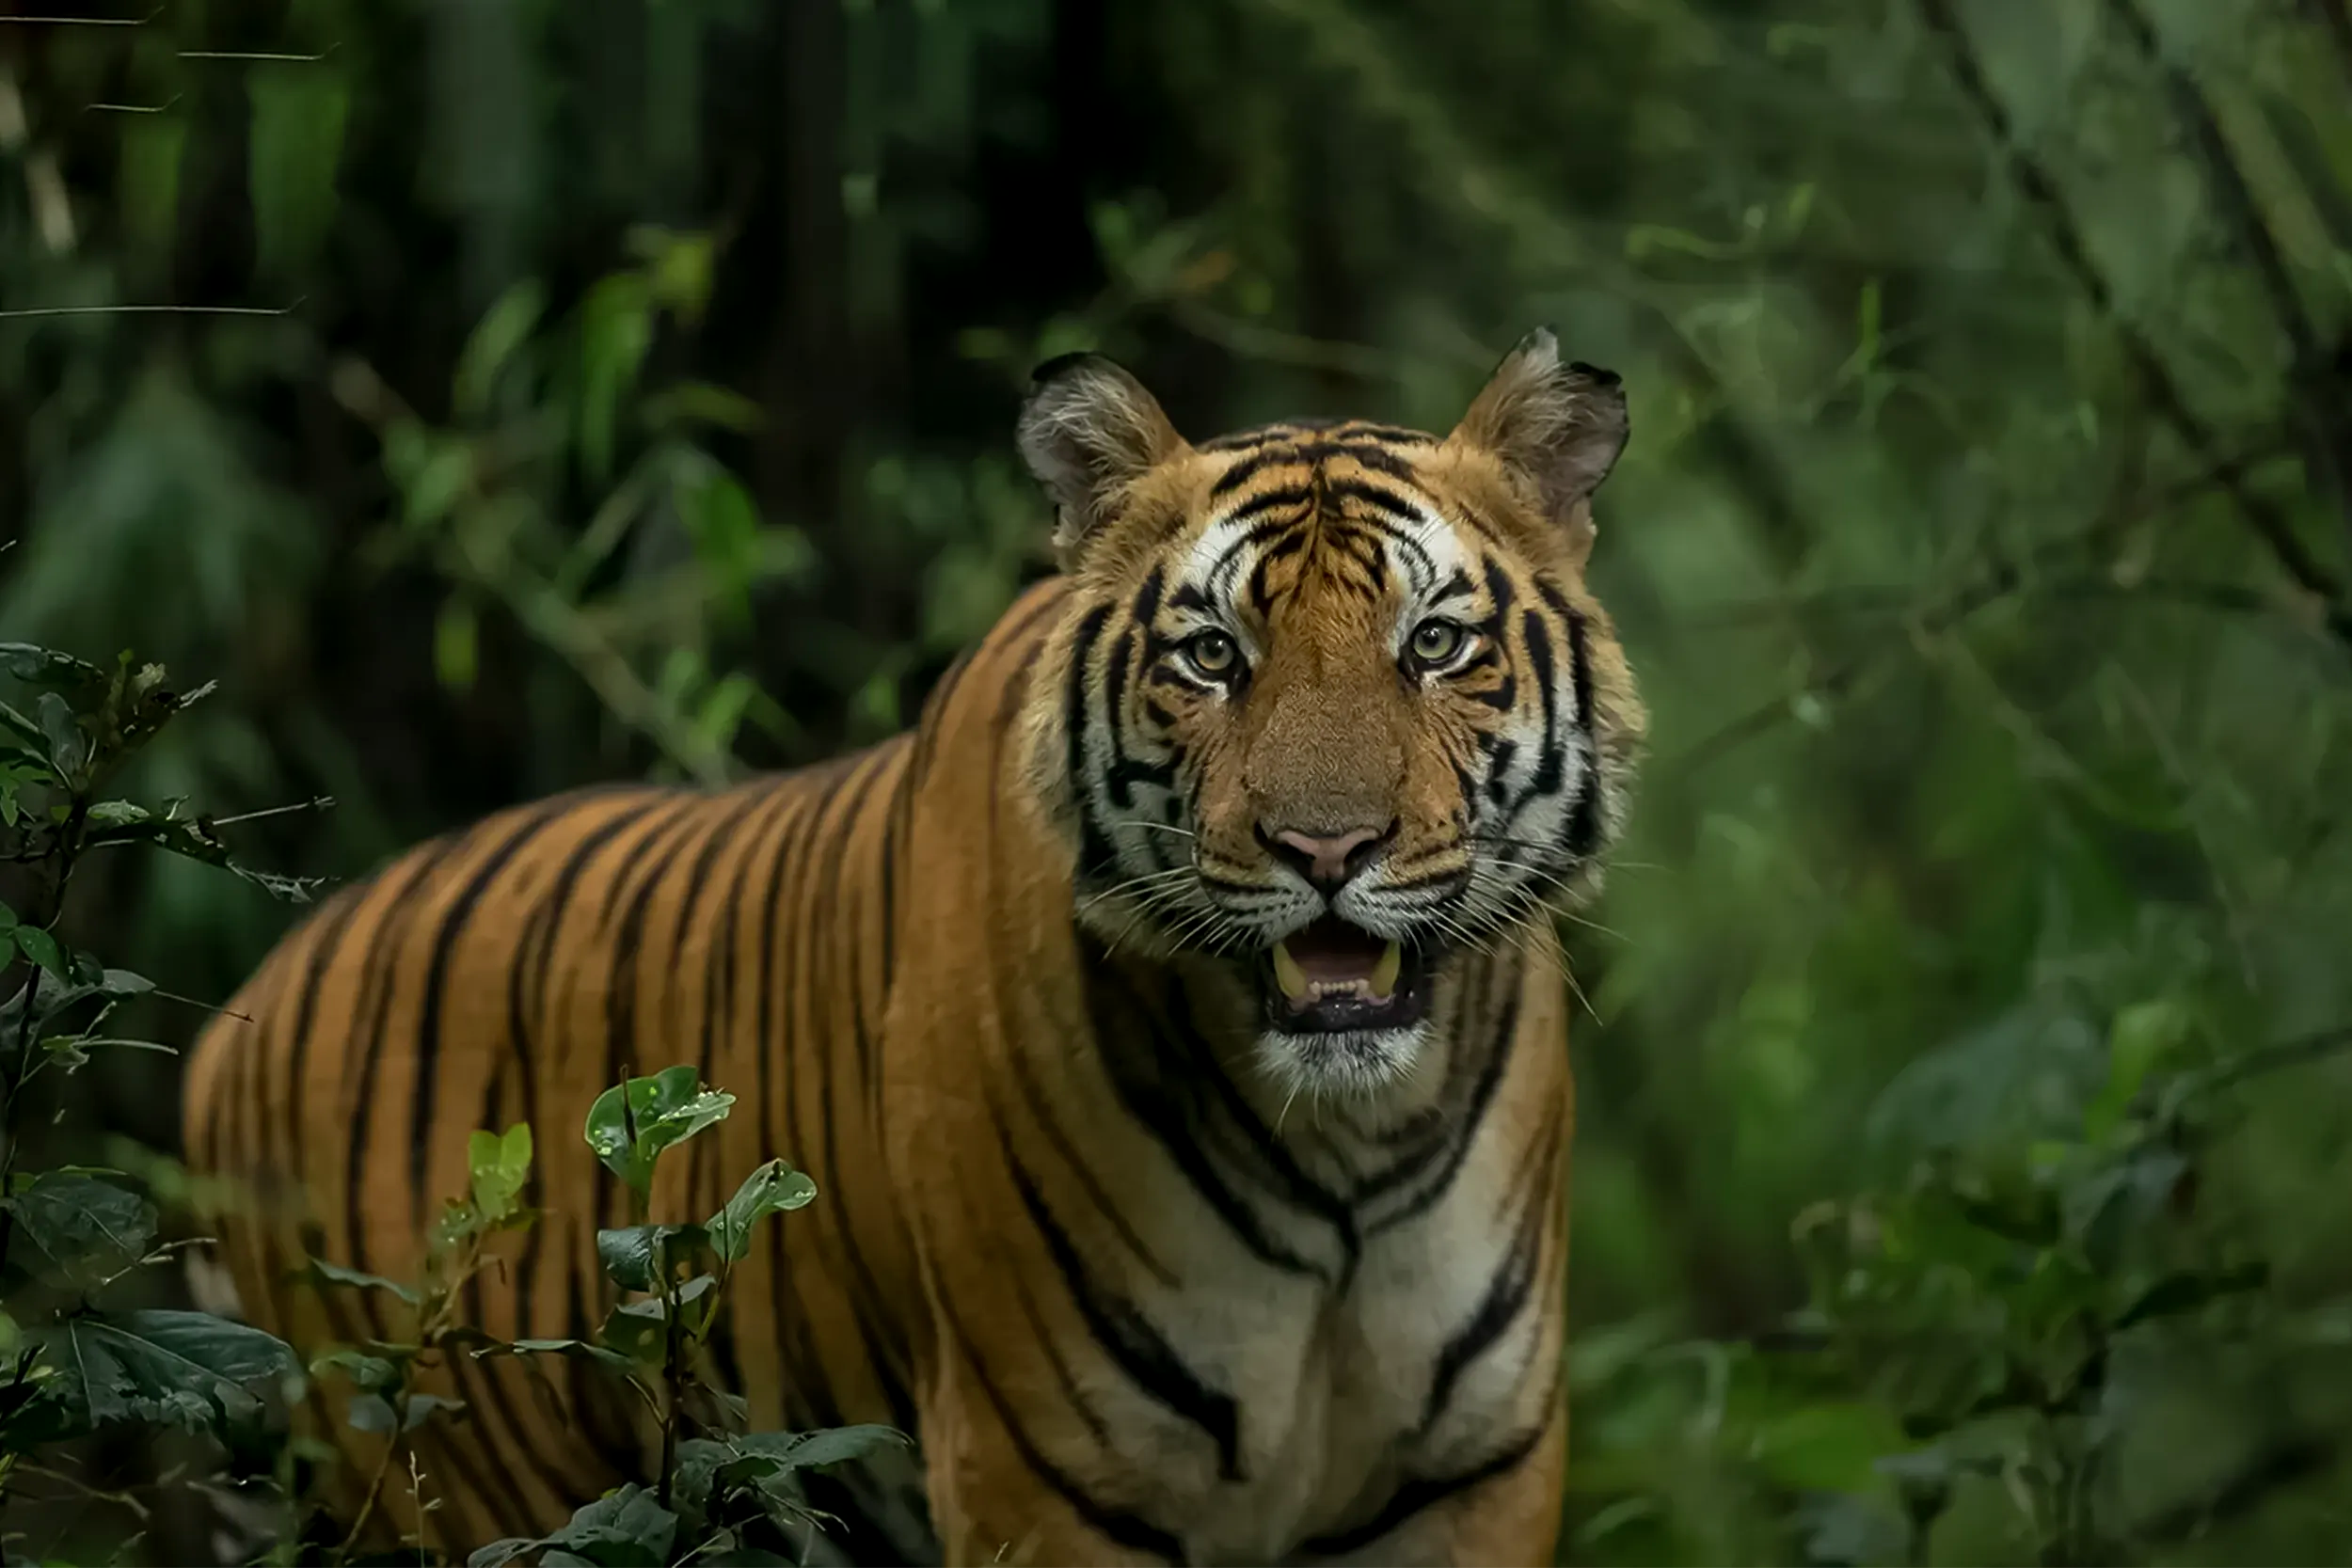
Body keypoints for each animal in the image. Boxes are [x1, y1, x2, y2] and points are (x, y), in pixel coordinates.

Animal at [180, 327, 1644, 1567]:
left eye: (1434, 642)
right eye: (1214, 656)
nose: (1325, 849)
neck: (1348, 1141)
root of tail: (238, 1015)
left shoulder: (1476, 1469)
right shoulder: (1042, 1470)